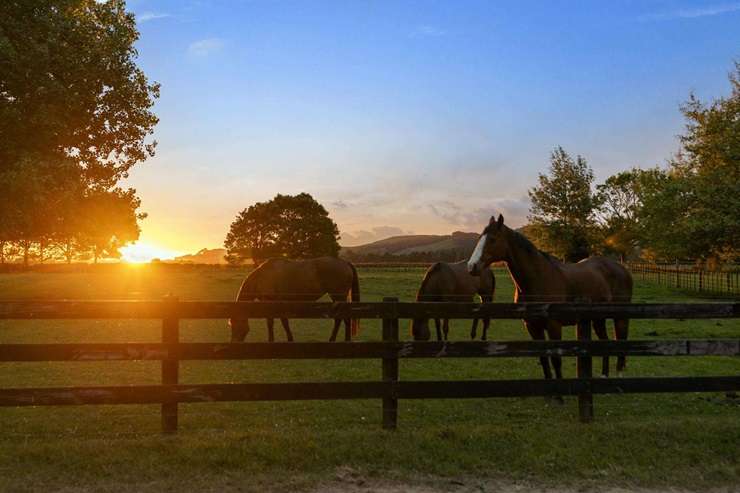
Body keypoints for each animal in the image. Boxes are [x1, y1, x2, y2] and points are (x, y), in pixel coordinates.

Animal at [230, 258, 360, 342]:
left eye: (234, 325)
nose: (234, 342)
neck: (261, 277)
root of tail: (345, 263)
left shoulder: (270, 302)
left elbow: (271, 322)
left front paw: (271, 340)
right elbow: (283, 321)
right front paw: (289, 339)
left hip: (338, 296)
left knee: (341, 318)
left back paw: (337, 339)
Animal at [468, 212, 632, 380]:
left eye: (493, 239)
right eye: (480, 237)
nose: (471, 266)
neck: (538, 278)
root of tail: (621, 268)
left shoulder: (554, 326)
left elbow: (556, 360)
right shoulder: (532, 326)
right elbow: (544, 359)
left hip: (619, 317)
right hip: (598, 318)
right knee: (605, 343)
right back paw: (604, 375)